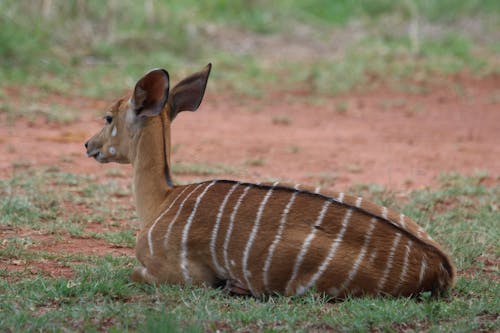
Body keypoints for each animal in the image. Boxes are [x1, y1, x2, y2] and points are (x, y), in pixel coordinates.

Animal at [84, 63, 456, 296]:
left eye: (108, 117)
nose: (88, 145)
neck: (162, 198)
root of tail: (440, 266)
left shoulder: (183, 275)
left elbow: (134, 272)